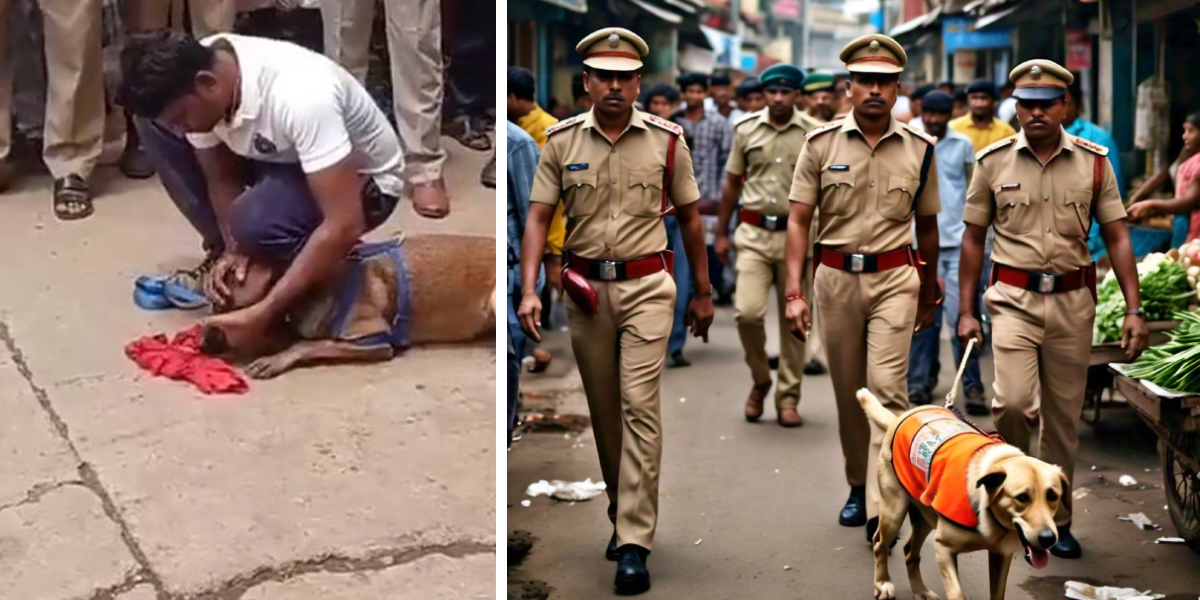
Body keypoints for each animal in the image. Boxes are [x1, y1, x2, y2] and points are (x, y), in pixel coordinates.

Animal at [204, 231, 494, 376]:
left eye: (223, 306)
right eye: (215, 304)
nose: (203, 344)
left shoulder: (376, 342)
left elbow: (308, 344)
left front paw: (277, 359)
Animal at [854, 388, 1070, 600]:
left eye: (1053, 496)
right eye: (1022, 498)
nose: (1048, 538)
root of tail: (901, 417)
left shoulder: (1001, 555)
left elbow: (997, 593)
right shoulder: (944, 549)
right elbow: (957, 593)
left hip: (925, 516)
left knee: (910, 553)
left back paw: (920, 591)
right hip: (894, 511)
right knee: (879, 544)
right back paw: (883, 584)